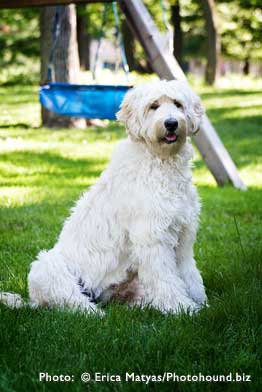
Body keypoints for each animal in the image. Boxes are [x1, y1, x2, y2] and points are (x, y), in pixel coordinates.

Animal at [1, 80, 208, 316]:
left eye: (177, 104)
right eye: (154, 106)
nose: (172, 123)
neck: (162, 162)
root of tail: (33, 302)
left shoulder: (183, 237)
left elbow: (189, 274)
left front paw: (200, 303)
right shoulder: (153, 238)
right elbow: (166, 278)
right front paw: (181, 307)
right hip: (46, 267)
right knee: (73, 302)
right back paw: (95, 313)